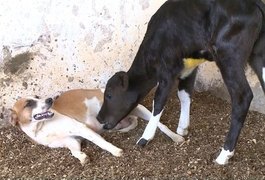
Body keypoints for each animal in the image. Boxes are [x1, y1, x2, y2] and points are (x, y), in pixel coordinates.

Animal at [10, 88, 184, 165]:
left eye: (38, 97)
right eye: (29, 103)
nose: (50, 100)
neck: (41, 127)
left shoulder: (80, 128)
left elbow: (101, 142)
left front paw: (115, 151)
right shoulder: (71, 141)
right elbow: (74, 152)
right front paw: (82, 157)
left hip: (140, 109)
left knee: (160, 124)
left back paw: (176, 136)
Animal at [96, 0, 264, 165]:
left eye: (109, 95)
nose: (99, 118)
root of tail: (254, 3)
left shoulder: (167, 72)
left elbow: (158, 102)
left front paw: (145, 137)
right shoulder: (188, 70)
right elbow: (184, 95)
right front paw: (183, 127)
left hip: (229, 56)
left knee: (242, 96)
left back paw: (224, 154)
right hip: (257, 55)